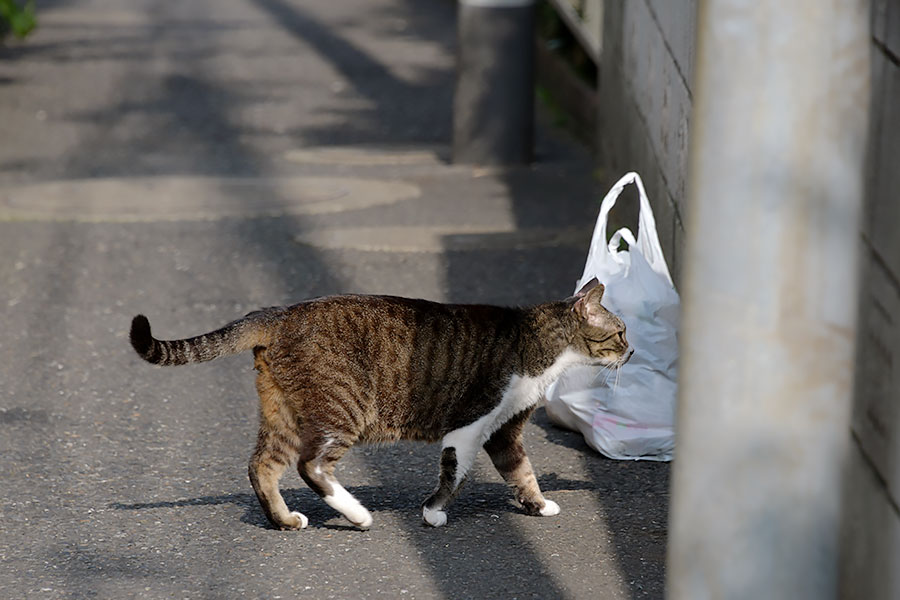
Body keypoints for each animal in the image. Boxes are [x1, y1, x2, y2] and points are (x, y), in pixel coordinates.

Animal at [130, 278, 628, 528]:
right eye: (620, 332)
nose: (633, 349)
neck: (537, 345)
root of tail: (278, 313)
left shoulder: (505, 430)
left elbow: (522, 472)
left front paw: (539, 506)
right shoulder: (470, 426)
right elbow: (454, 474)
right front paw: (433, 512)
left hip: (283, 412)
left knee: (262, 466)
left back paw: (285, 520)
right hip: (343, 409)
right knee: (310, 466)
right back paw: (359, 515)